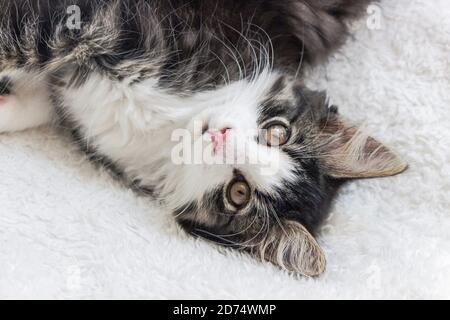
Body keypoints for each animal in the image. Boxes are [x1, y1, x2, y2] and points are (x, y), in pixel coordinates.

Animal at [0, 0, 408, 276]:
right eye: (278, 131)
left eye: (238, 193)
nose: (221, 135)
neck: (174, 119)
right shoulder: (91, 23)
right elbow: (15, 44)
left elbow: (36, 102)